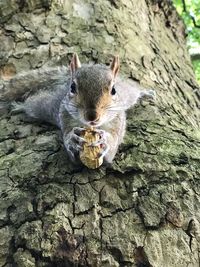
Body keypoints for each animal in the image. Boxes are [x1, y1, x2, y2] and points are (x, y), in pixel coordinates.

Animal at [0, 53, 155, 166]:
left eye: (113, 90)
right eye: (73, 88)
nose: (92, 116)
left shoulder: (117, 122)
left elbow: (111, 151)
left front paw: (105, 141)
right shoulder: (65, 117)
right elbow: (71, 149)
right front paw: (72, 140)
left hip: (127, 94)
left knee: (133, 90)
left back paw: (145, 93)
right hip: (45, 104)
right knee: (32, 103)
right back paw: (20, 106)